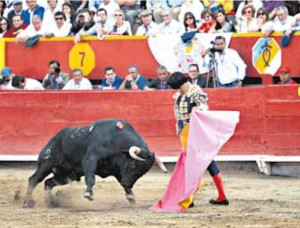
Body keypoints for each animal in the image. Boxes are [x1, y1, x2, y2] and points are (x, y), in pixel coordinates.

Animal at [22, 118, 168, 208]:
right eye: (133, 165)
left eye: (142, 173)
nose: (128, 183)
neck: (116, 140)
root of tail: (53, 139)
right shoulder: (90, 159)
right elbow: (90, 177)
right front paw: (88, 194)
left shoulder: (117, 169)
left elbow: (120, 181)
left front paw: (130, 196)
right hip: (46, 163)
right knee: (33, 179)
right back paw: (27, 202)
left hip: (67, 175)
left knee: (48, 183)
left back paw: (50, 203)